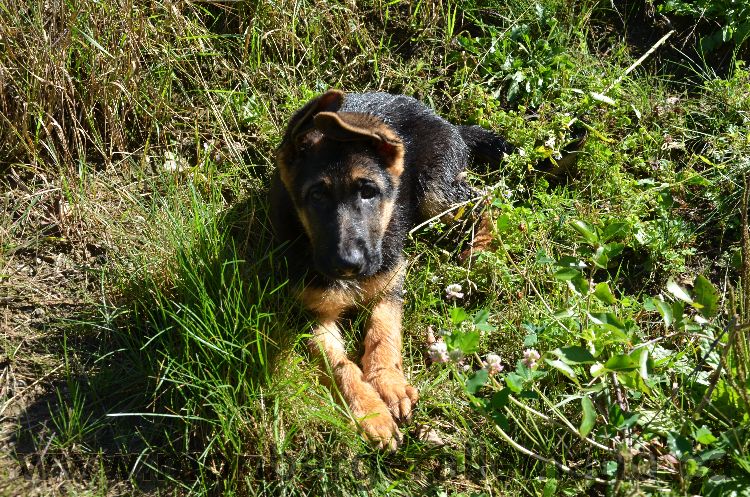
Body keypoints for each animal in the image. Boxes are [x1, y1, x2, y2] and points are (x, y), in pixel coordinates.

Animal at [274, 90, 516, 450]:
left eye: (368, 191)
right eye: (317, 195)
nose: (348, 265)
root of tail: (446, 122)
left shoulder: (391, 279)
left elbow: (382, 331)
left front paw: (388, 382)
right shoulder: (313, 316)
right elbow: (340, 365)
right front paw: (372, 412)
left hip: (435, 190)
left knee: (482, 200)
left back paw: (480, 249)